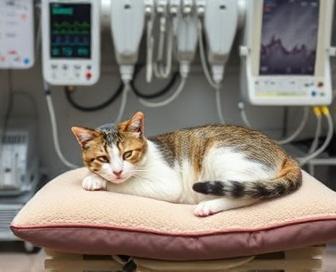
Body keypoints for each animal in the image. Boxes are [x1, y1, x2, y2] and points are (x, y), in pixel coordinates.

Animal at [71, 110, 302, 217]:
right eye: (103, 158)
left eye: (127, 154)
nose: (118, 171)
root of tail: (284, 153)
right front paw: (97, 176)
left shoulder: (167, 185)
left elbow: (126, 184)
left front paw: (97, 180)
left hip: (221, 154)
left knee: (249, 195)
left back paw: (208, 206)